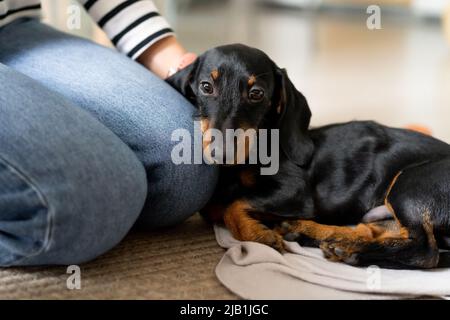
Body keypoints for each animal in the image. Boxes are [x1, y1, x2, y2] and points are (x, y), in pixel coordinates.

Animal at [167, 44, 450, 270]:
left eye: (256, 93)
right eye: (206, 86)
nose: (221, 153)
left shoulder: (294, 192)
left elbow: (233, 204)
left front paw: (258, 235)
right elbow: (220, 205)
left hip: (409, 185)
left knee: (424, 251)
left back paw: (350, 250)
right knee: (373, 229)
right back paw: (314, 233)